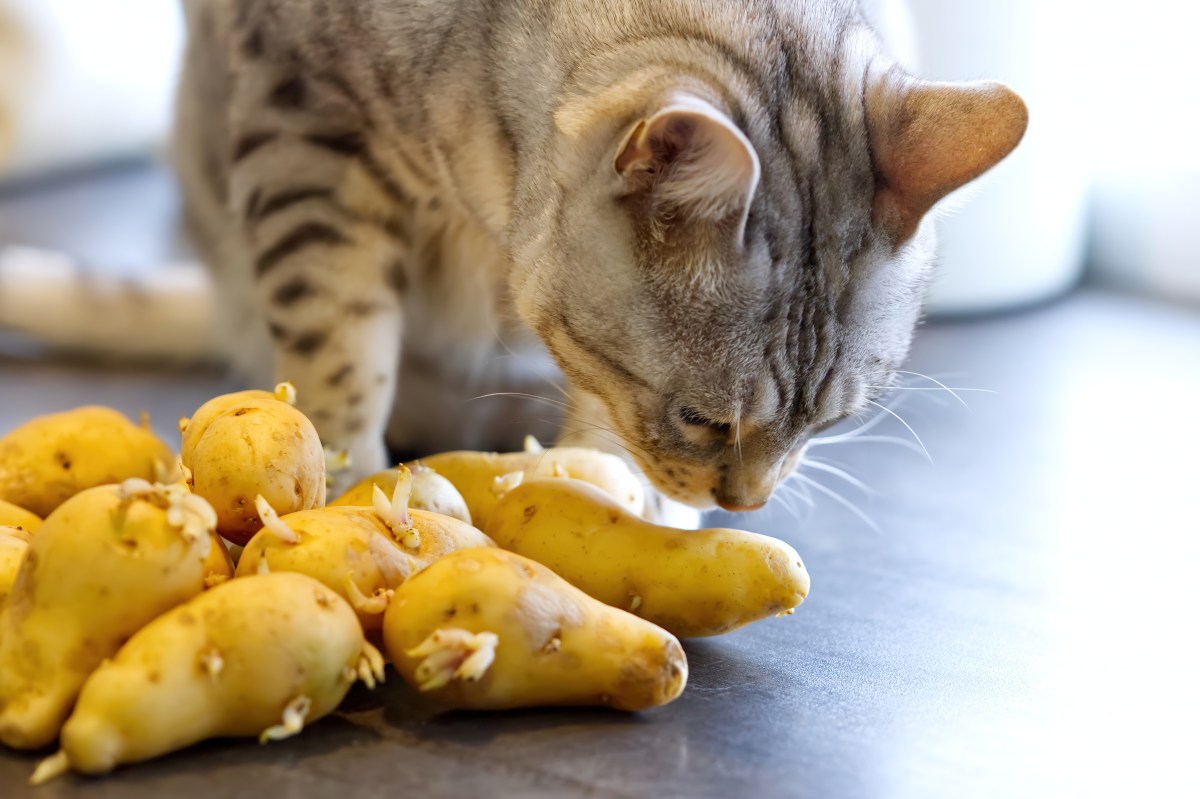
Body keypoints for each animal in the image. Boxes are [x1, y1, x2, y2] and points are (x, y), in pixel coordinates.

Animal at [2, 0, 1032, 520]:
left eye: (831, 424)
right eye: (703, 419)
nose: (747, 506)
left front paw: (628, 503)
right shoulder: (303, 130)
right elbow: (340, 351)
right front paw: (342, 480)